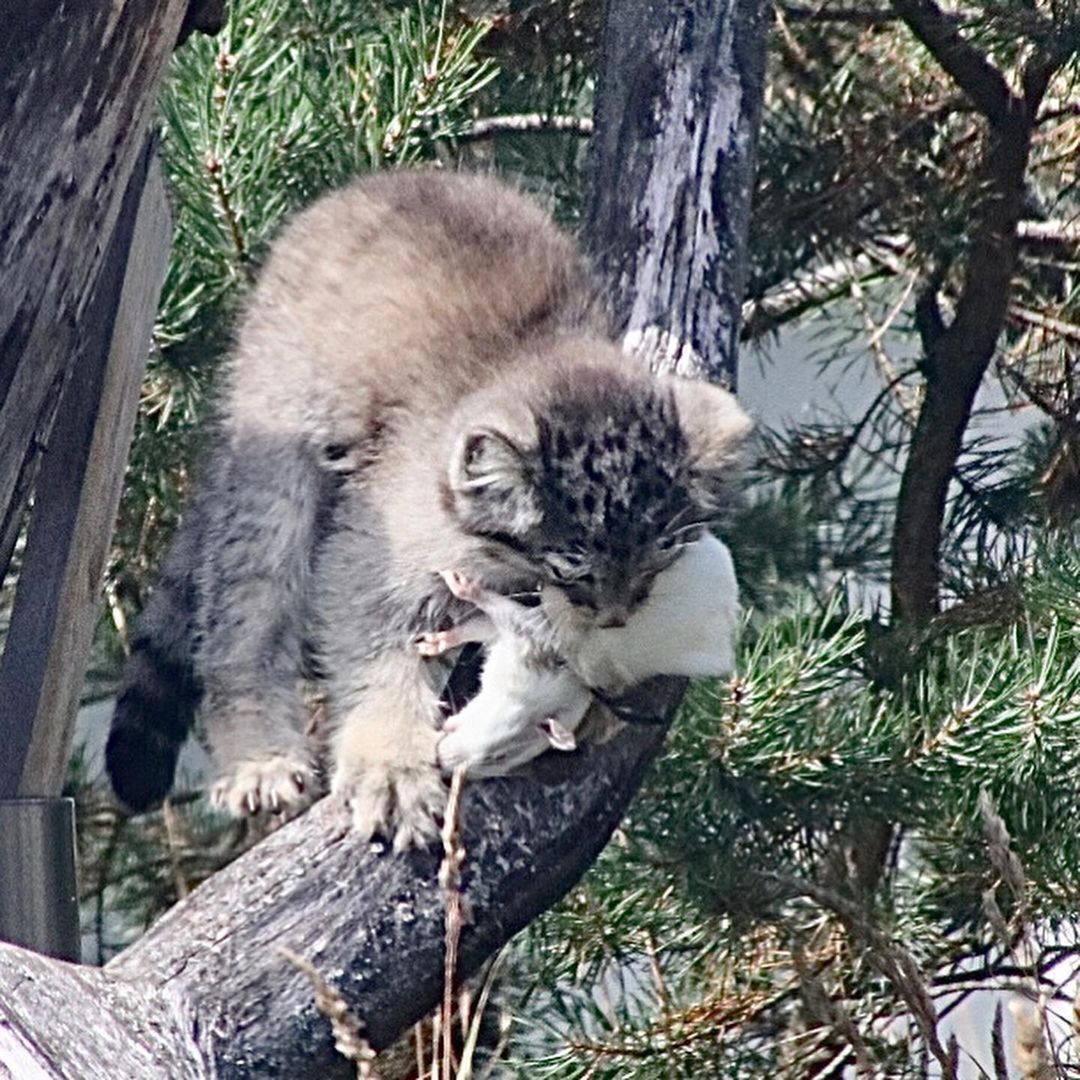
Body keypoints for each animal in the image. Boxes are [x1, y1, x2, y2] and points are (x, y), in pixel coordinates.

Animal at [107, 168, 751, 846]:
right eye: (572, 567)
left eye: (658, 560)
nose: (617, 617)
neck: (529, 352)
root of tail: (378, 182)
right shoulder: (377, 547)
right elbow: (376, 651)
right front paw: (389, 762)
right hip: (275, 433)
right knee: (247, 604)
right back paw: (259, 753)